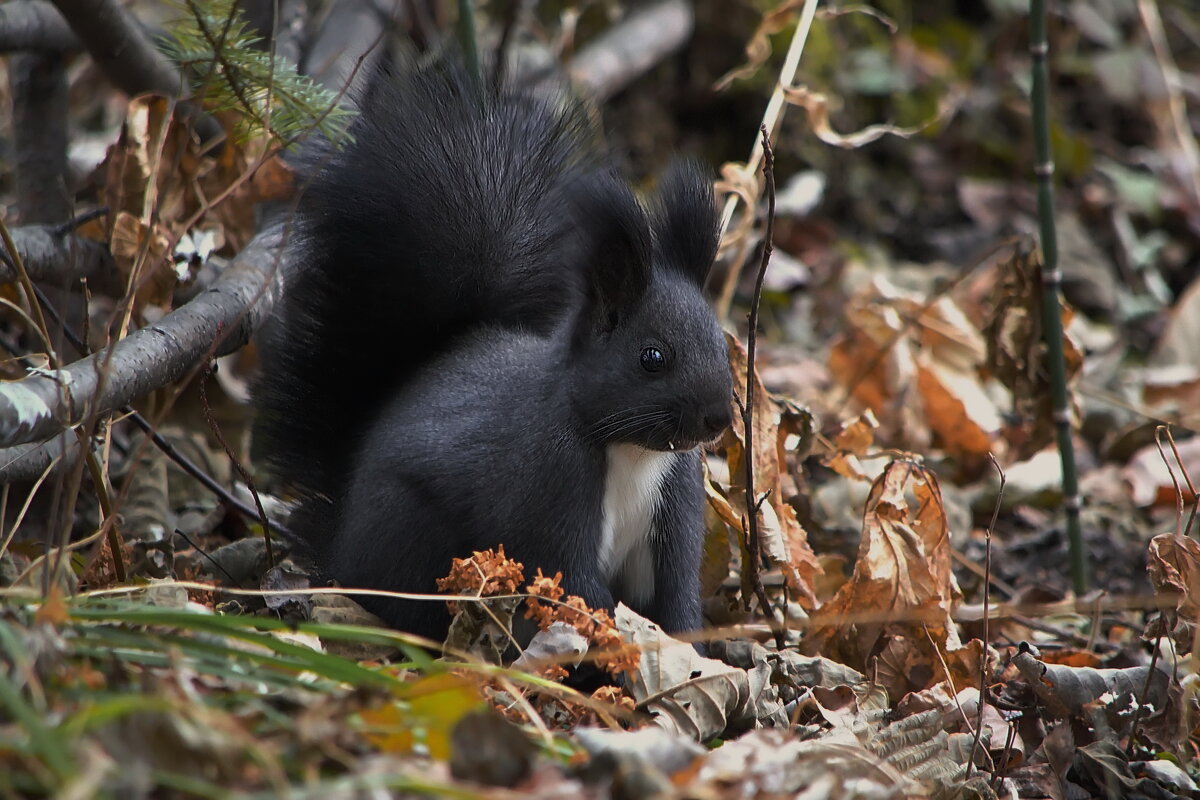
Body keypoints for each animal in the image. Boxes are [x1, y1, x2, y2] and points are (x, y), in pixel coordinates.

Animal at [255, 57, 729, 642]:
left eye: (722, 343)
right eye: (652, 358)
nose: (718, 418)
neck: (632, 453)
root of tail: (340, 544)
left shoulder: (676, 500)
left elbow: (677, 595)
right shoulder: (547, 484)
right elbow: (577, 587)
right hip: (414, 538)